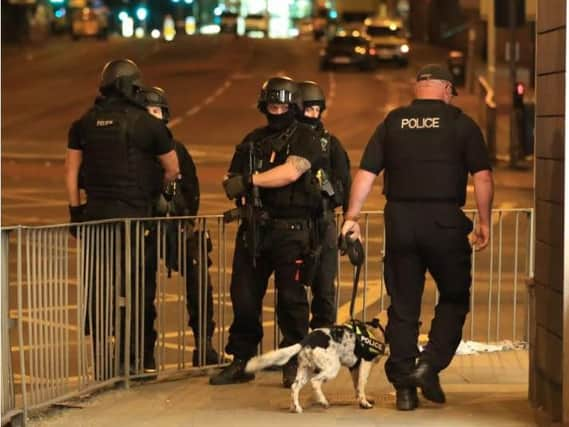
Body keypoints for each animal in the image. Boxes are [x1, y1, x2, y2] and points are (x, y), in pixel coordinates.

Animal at [245, 320, 386, 412]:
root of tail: (305, 341)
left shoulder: (354, 367)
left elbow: (357, 386)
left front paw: (361, 400)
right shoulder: (366, 363)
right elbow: (361, 385)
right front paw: (364, 403)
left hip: (306, 370)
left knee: (294, 387)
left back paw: (296, 407)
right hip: (332, 368)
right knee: (315, 382)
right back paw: (322, 401)